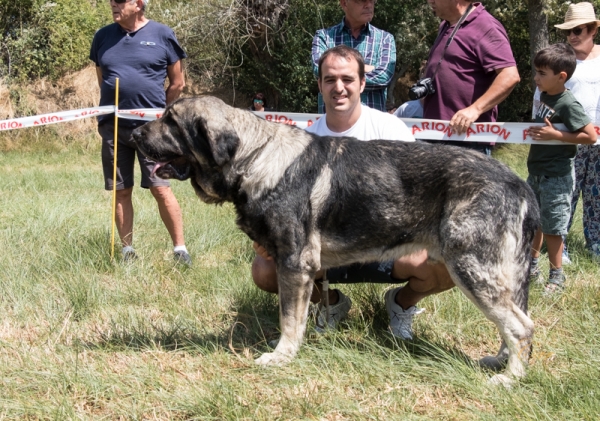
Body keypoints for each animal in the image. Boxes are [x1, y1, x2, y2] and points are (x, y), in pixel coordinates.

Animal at [134, 95, 540, 384]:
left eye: (171, 121)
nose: (135, 135)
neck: (254, 157)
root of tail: (518, 184)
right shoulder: (297, 265)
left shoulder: (294, 263)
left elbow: (289, 319)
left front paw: (280, 356)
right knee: (515, 321)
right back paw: (500, 361)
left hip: (471, 268)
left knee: (521, 326)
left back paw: (510, 379)